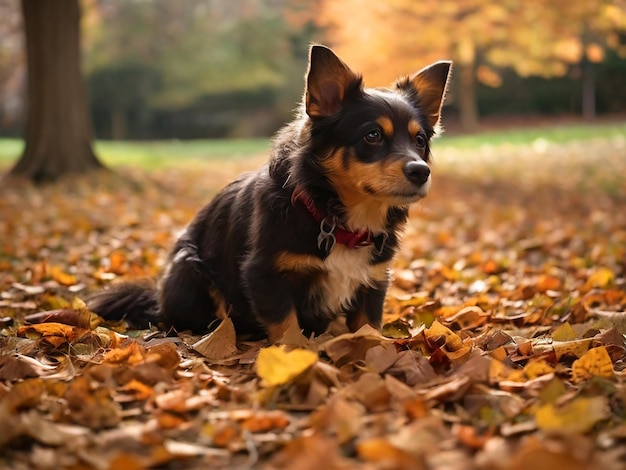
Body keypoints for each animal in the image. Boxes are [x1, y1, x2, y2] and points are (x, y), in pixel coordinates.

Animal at [88, 46, 448, 344]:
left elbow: (369, 329)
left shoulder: (373, 281)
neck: (333, 215)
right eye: (372, 135)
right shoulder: (263, 274)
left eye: (419, 141)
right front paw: (296, 359)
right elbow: (287, 328)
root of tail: (157, 297)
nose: (420, 171)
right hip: (190, 269)